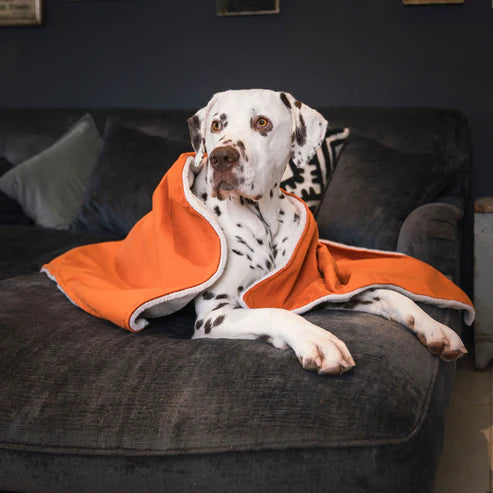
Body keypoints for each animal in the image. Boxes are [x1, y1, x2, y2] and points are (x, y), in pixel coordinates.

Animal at [185, 88, 466, 372]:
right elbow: (274, 312)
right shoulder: (213, 314)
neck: (264, 220)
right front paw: (318, 340)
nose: (221, 157)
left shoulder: (320, 288)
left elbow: (386, 293)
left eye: (262, 122)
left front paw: (435, 328)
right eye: (216, 125)